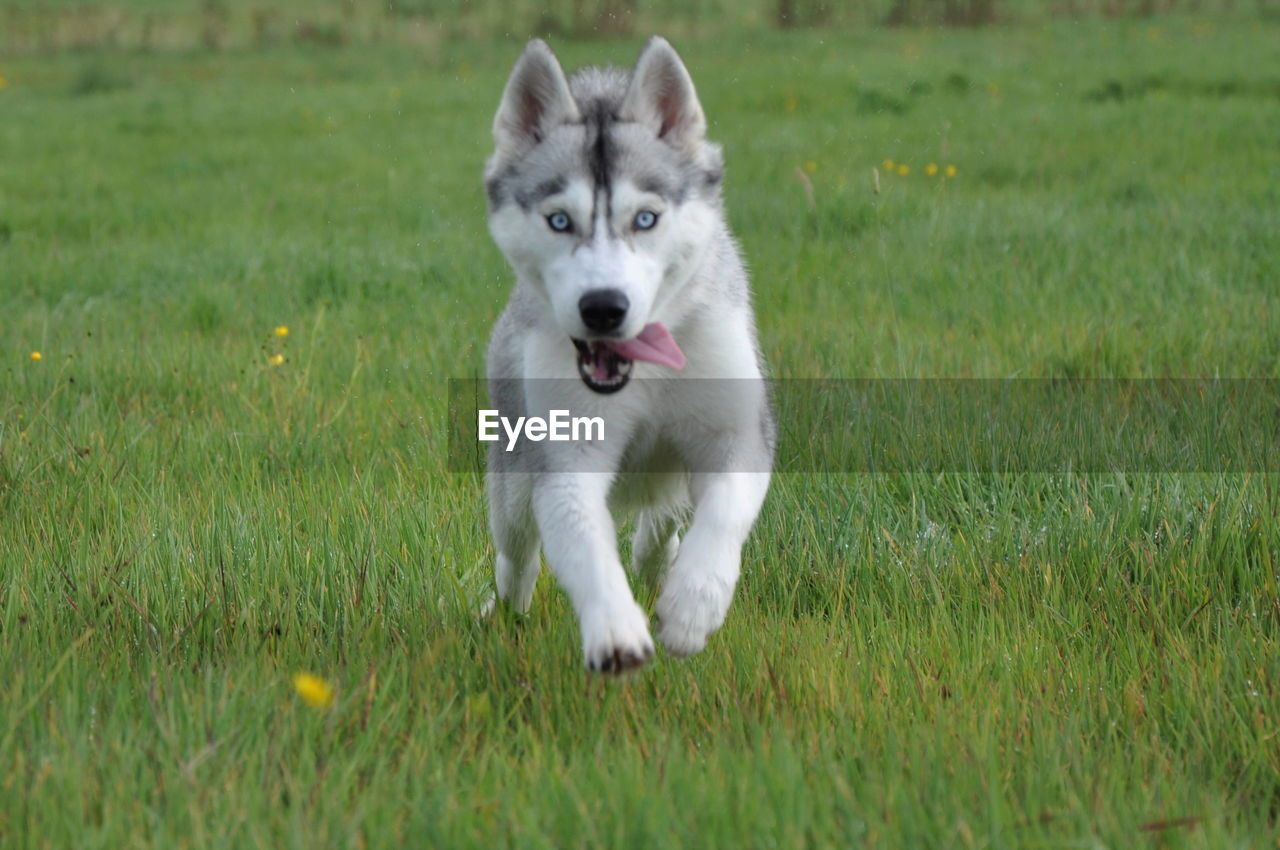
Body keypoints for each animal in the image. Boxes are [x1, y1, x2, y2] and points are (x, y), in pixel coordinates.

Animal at [483, 36, 773, 675]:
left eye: (645, 218)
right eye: (559, 220)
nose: (603, 308)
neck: (645, 374)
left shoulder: (739, 432)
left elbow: (722, 513)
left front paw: (693, 606)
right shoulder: (565, 457)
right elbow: (584, 544)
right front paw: (615, 629)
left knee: (661, 521)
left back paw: (659, 562)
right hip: (511, 480)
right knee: (516, 551)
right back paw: (505, 608)